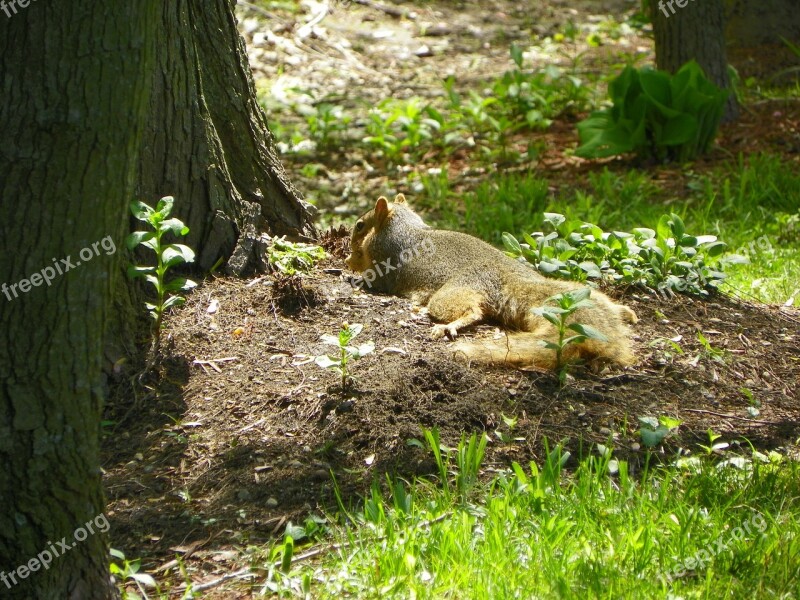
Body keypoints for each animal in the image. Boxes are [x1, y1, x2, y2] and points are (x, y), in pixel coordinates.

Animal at [344, 195, 636, 368]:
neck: (404, 226)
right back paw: (623, 311)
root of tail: (508, 278)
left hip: (451, 293)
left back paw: (449, 326)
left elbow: (373, 279)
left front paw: (350, 270)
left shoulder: (384, 263)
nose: (348, 253)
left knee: (474, 311)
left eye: (359, 225)